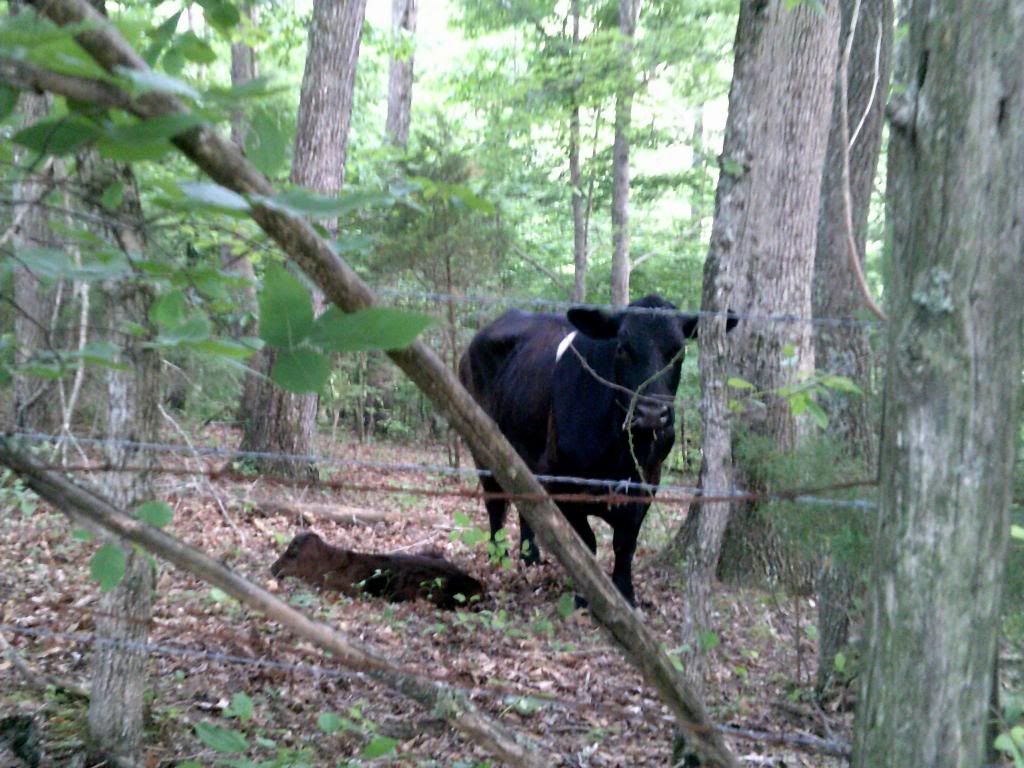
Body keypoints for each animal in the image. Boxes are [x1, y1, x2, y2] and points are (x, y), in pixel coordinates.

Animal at [458, 294, 734, 606]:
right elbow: (586, 542)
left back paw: (530, 558)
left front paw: (625, 593)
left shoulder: (648, 482)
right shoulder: (560, 480)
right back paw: (499, 556)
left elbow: (625, 543)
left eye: (678, 351)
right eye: (622, 347)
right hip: (480, 439)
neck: (619, 455)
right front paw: (585, 593)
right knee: (495, 500)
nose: (651, 413)